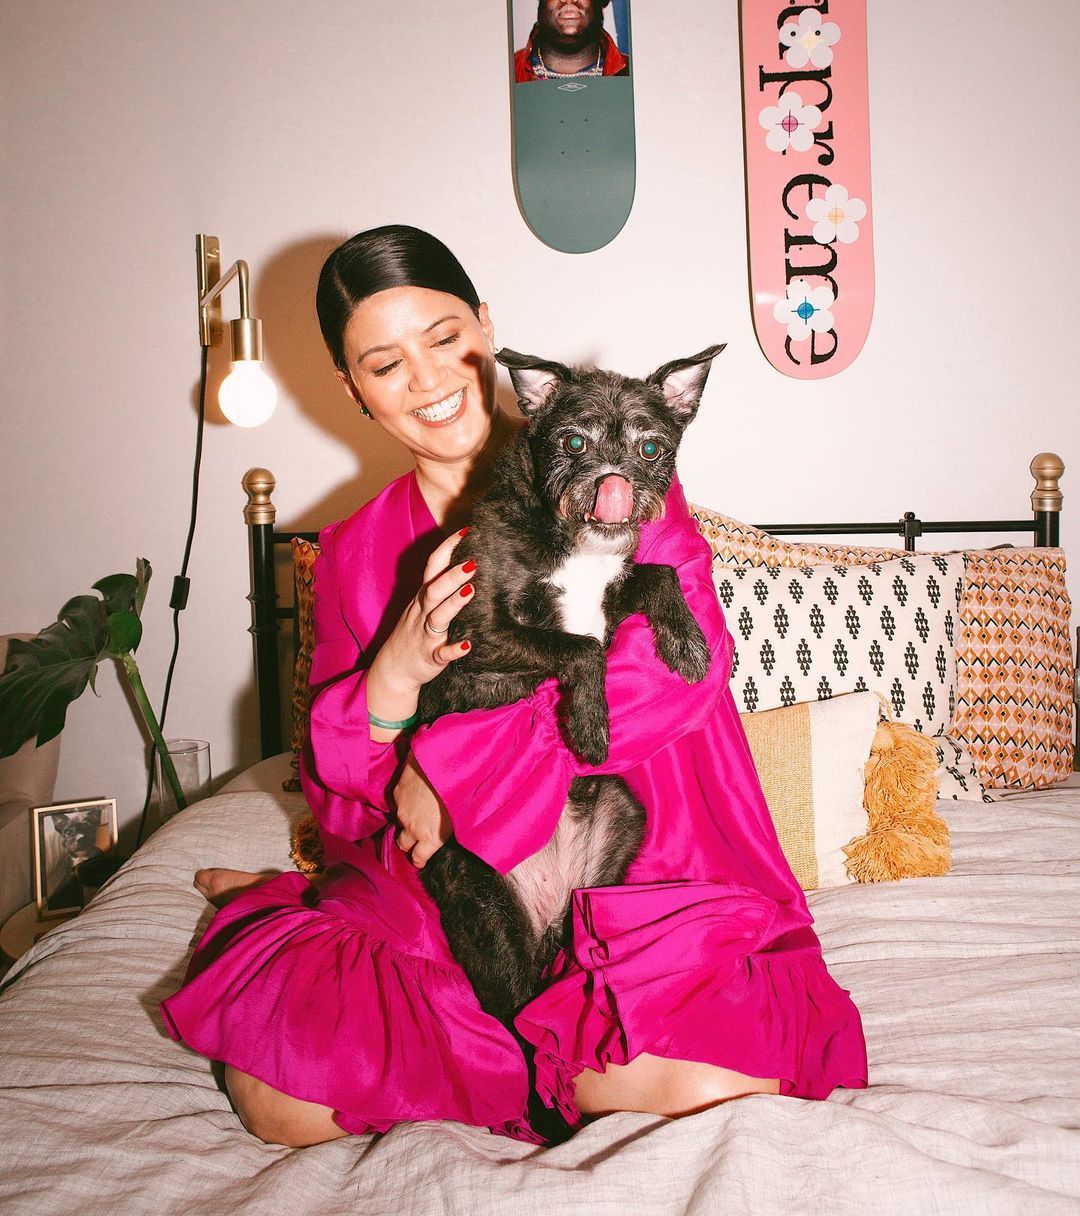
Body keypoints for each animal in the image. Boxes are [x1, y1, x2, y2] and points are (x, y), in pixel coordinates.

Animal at [420, 345, 724, 1026]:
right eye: (572, 442)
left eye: (651, 448)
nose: (614, 482)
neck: (576, 547)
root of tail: (548, 904)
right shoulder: (475, 636)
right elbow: (577, 648)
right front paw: (589, 725)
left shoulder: (614, 594)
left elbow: (659, 574)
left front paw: (687, 643)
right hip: (482, 906)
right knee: (514, 1017)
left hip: (620, 823)